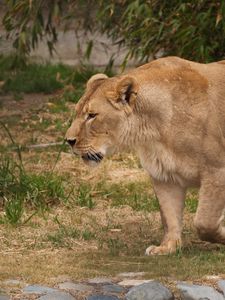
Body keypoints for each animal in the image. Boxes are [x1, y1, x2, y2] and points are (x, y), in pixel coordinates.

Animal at [65, 56, 225, 255]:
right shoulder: (164, 176)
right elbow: (170, 216)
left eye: (92, 115)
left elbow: (205, 222)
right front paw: (167, 247)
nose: (68, 140)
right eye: (77, 112)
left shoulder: (216, 171)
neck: (154, 131)